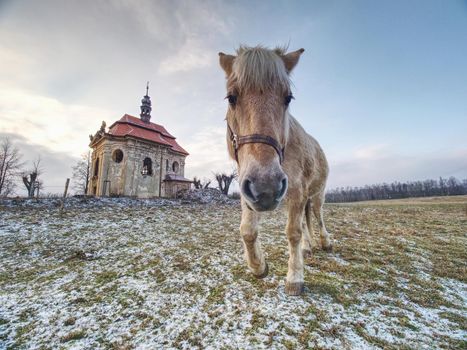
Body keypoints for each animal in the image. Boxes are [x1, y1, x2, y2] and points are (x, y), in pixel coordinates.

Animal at [219, 44, 332, 296]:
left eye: (287, 98)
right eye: (231, 97)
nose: (267, 186)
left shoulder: (297, 191)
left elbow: (293, 232)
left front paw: (295, 277)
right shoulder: (249, 189)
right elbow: (247, 230)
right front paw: (259, 266)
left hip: (317, 194)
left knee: (318, 215)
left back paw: (325, 242)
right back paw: (308, 247)